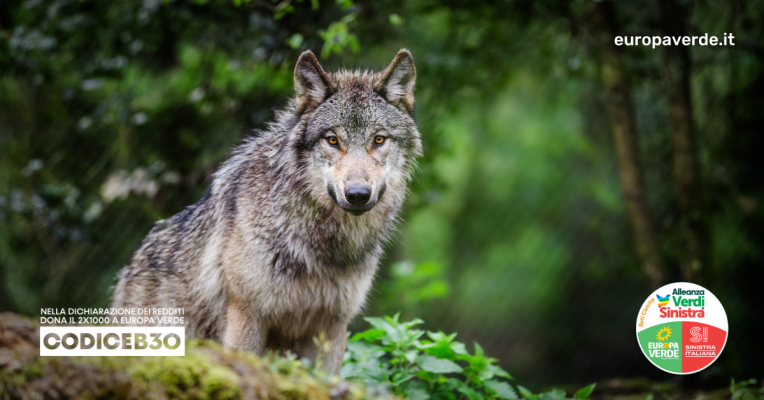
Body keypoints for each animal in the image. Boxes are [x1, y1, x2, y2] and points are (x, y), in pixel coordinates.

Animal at [111, 49, 421, 373]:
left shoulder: (332, 327)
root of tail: (130, 266)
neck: (319, 246)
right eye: (332, 140)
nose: (358, 195)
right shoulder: (246, 316)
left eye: (379, 139)